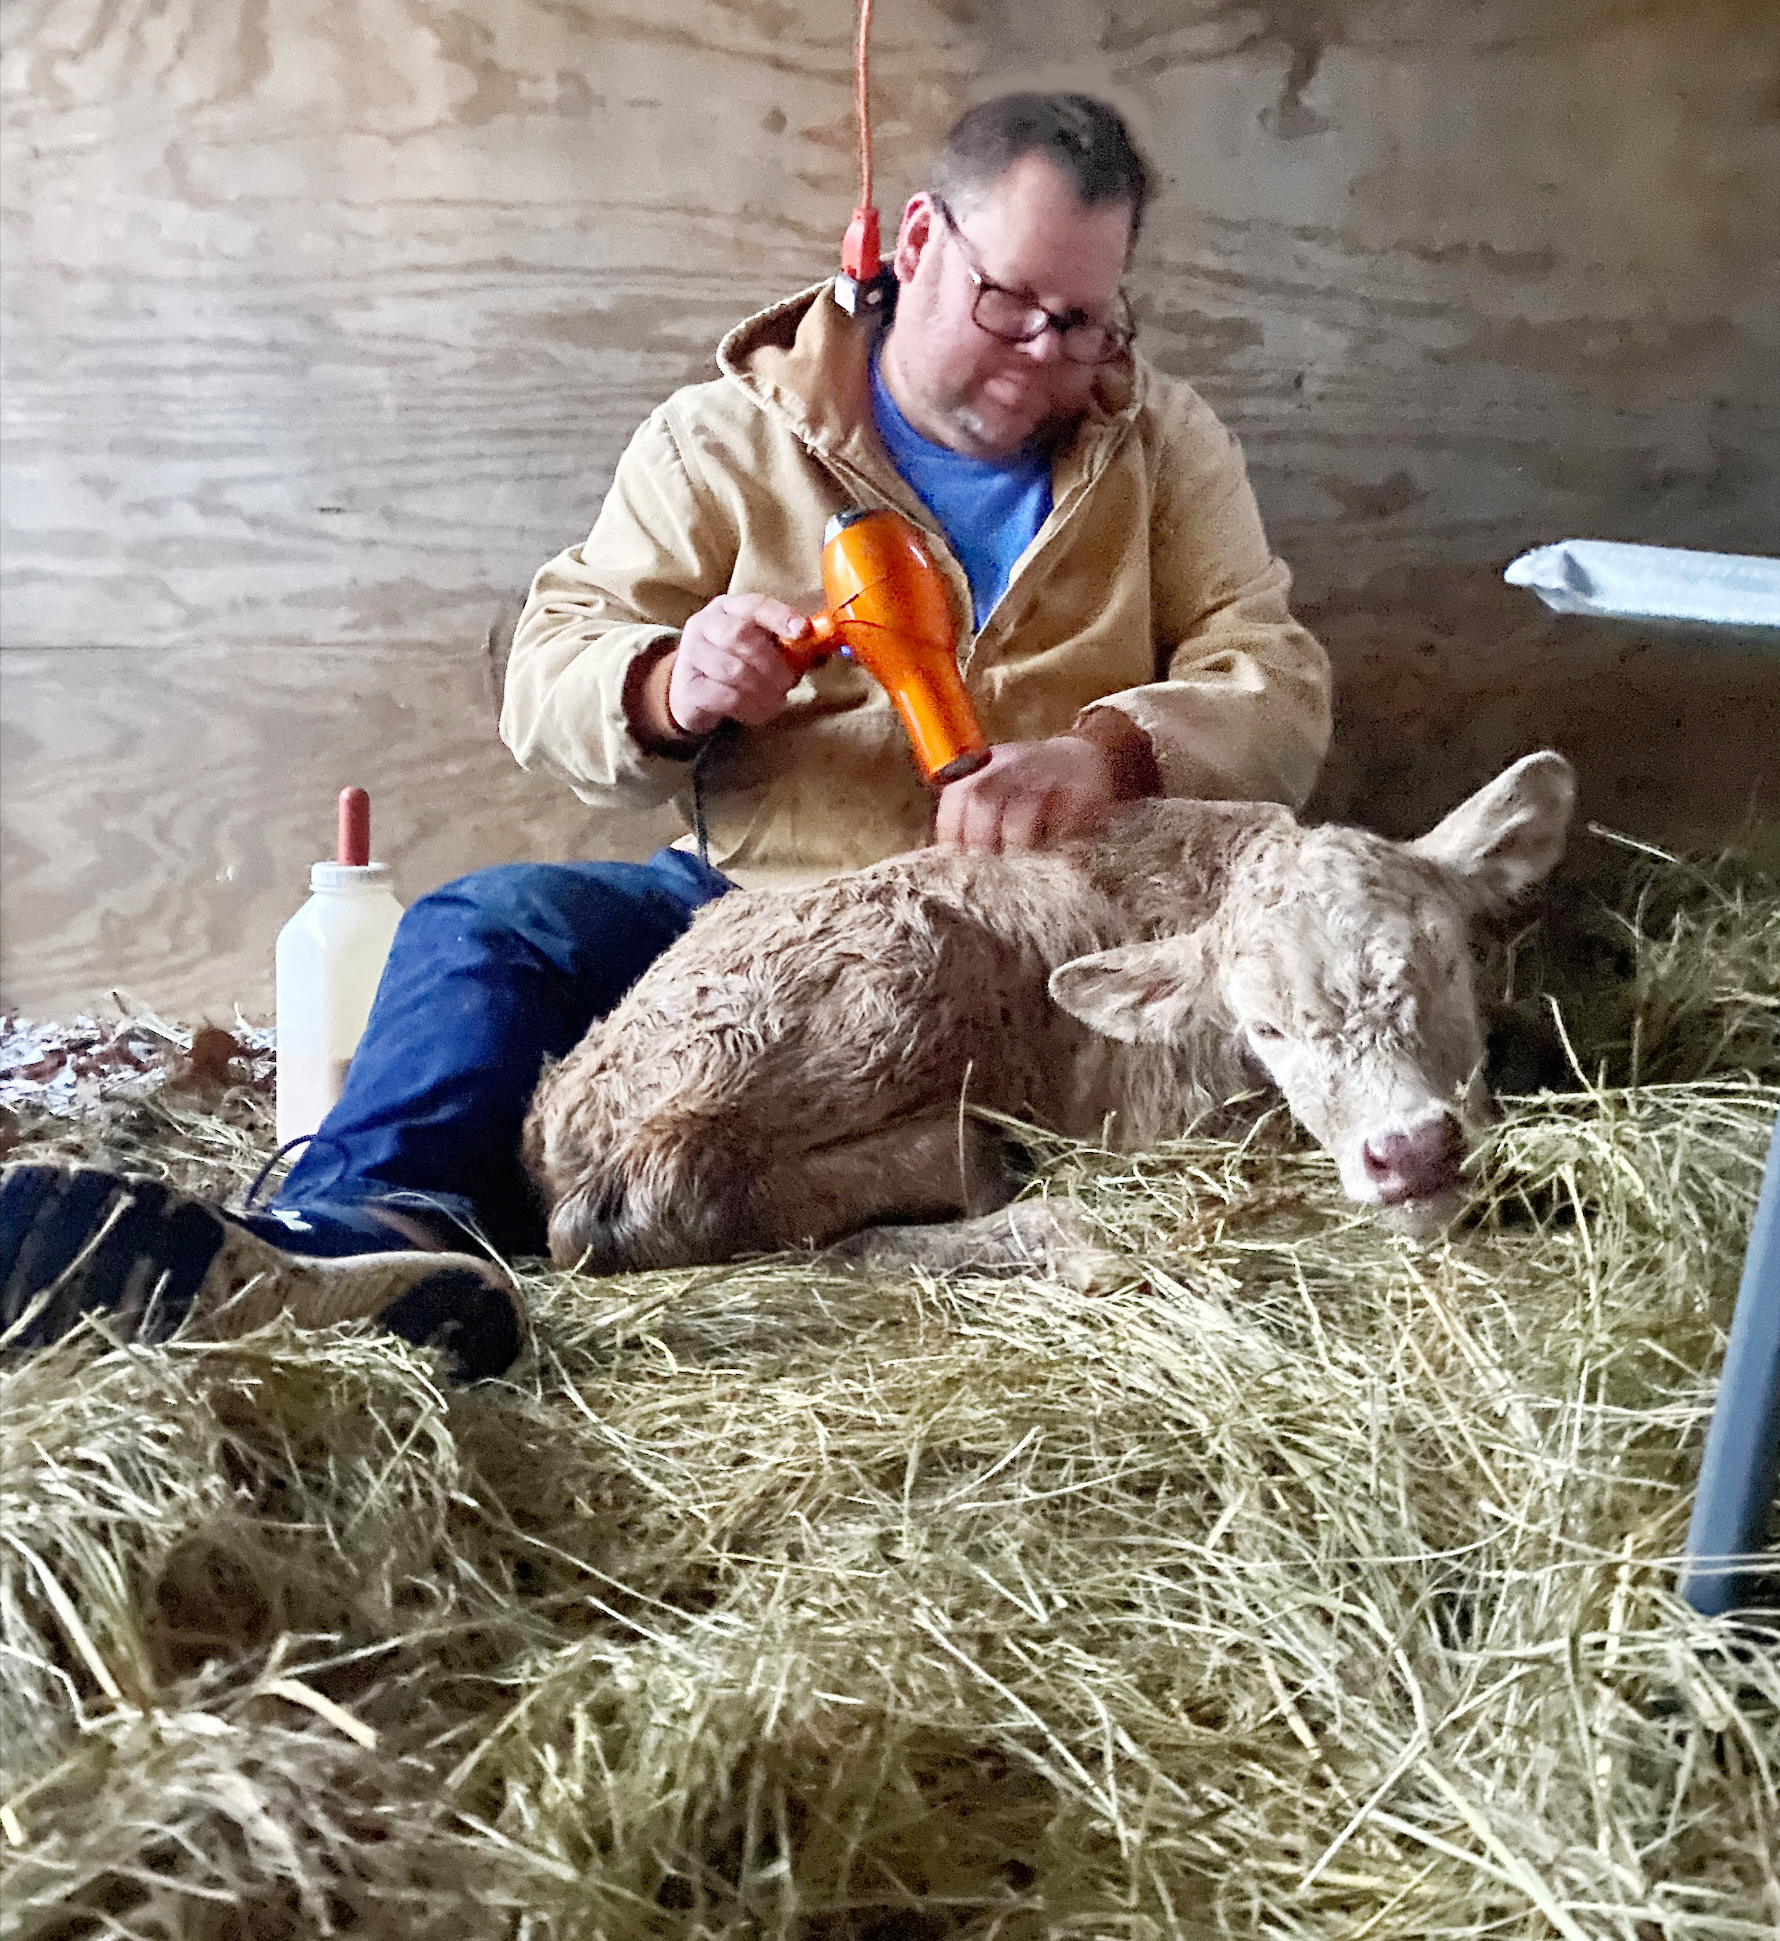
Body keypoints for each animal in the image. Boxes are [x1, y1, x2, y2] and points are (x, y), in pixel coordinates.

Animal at [524, 745, 1568, 1273]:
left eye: (1444, 959)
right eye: (1265, 1027)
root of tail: (558, 1100)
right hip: (880, 980)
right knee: (643, 1200)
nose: (1412, 1150)